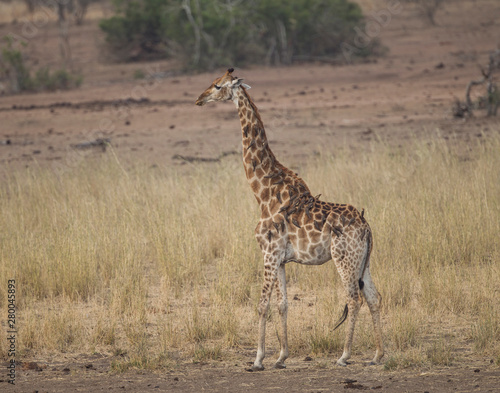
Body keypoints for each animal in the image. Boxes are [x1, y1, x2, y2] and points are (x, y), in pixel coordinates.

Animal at [195, 68, 382, 370]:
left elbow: (262, 305)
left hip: (344, 257)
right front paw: (281, 357)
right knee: (374, 297)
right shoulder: (281, 259)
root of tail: (366, 227)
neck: (262, 193)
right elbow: (282, 304)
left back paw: (344, 356)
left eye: (218, 85)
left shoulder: (269, 253)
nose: (199, 99)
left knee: (354, 299)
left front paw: (258, 359)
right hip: (363, 260)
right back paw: (378, 355)